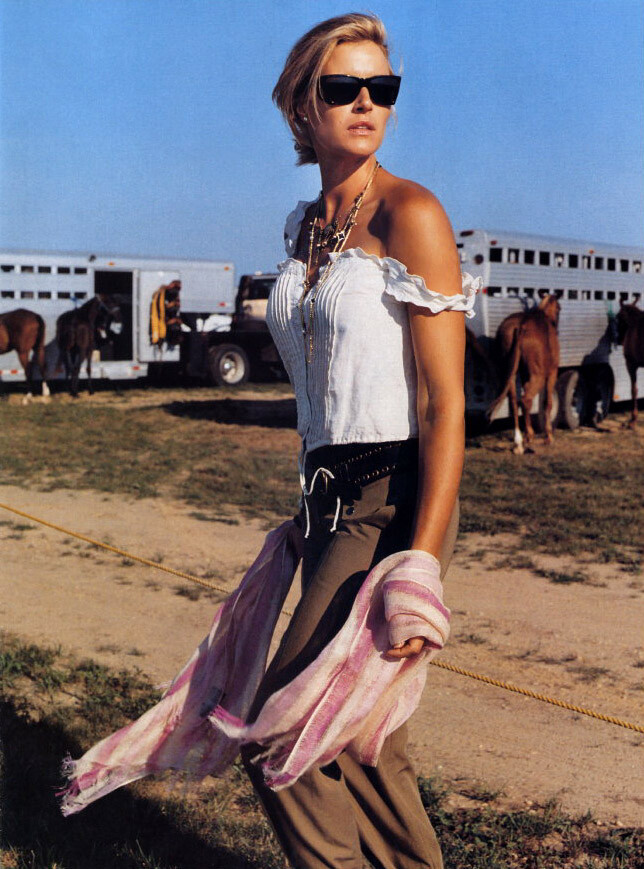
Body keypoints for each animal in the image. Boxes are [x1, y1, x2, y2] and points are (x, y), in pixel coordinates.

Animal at [487, 294, 561, 454]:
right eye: (559, 308)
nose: (557, 326)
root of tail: (521, 326)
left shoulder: (525, 373)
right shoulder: (552, 373)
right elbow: (548, 403)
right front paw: (548, 436)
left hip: (510, 372)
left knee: (514, 401)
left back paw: (519, 441)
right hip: (539, 375)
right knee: (526, 399)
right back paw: (529, 437)